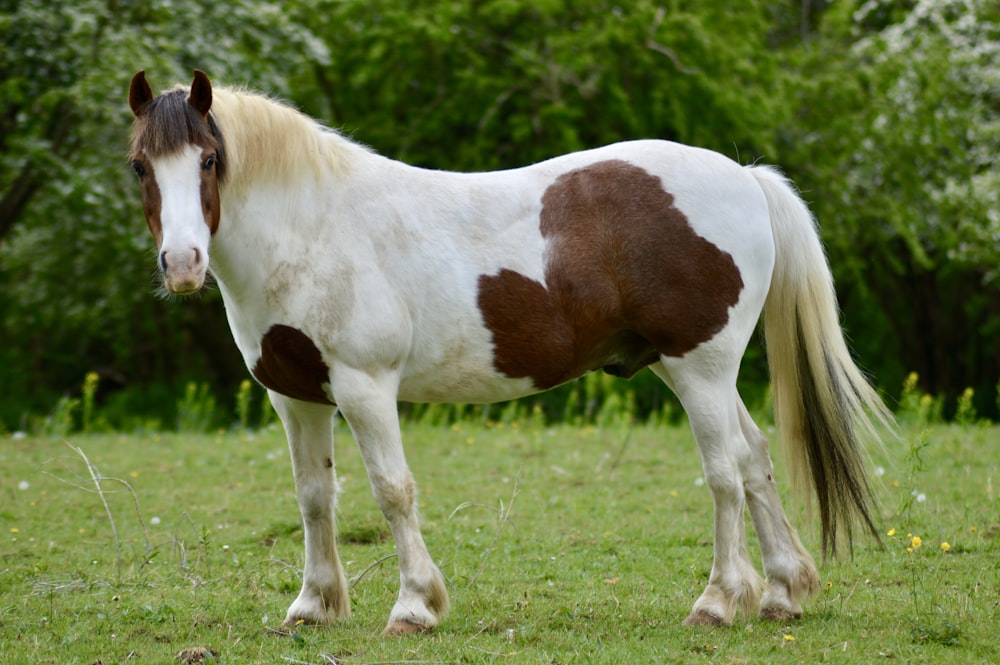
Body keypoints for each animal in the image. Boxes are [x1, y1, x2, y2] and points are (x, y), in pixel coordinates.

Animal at [127, 70, 892, 636]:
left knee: (726, 473)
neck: (311, 230)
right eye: (140, 165)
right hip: (699, 370)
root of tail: (746, 177)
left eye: (209, 159)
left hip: (699, 367)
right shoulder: (296, 396)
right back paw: (783, 592)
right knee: (757, 460)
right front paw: (312, 606)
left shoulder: (364, 386)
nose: (183, 263)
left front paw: (414, 606)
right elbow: (315, 497)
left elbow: (392, 491)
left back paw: (718, 601)